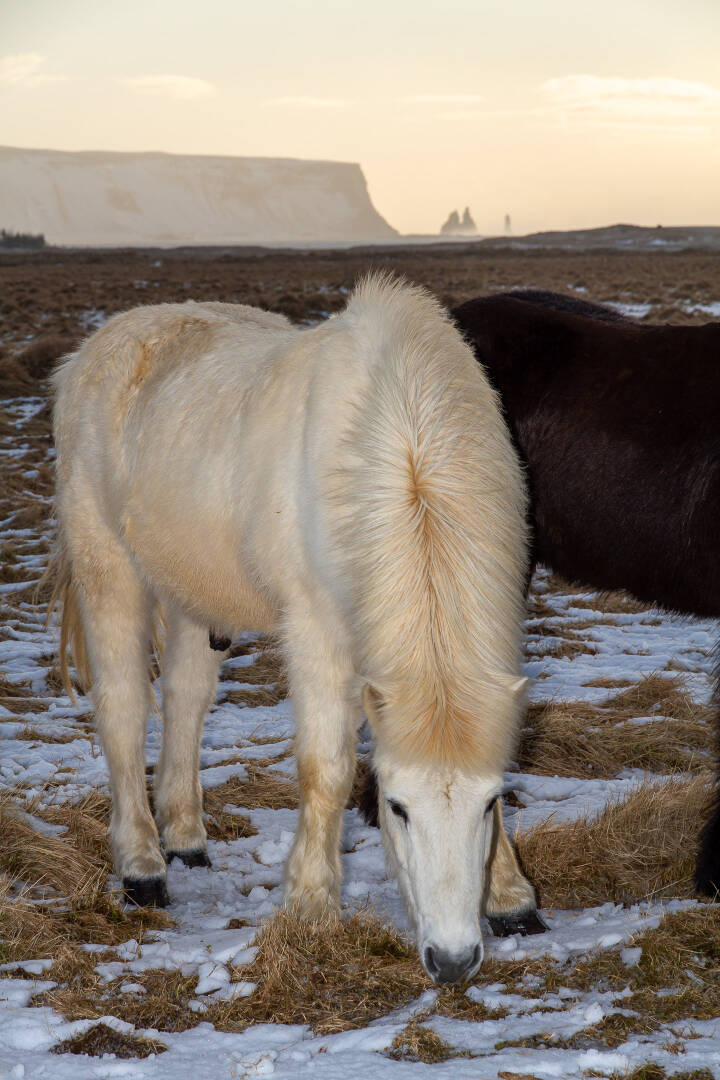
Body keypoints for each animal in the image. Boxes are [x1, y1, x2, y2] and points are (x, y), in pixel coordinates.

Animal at [50, 276, 535, 984]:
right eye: (396, 806)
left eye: (490, 804)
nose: (451, 961)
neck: (405, 449)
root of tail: (93, 352)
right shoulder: (317, 632)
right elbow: (325, 767)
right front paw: (310, 904)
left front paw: (510, 898)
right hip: (109, 570)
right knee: (123, 710)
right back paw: (142, 867)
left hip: (191, 592)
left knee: (186, 702)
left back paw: (186, 838)